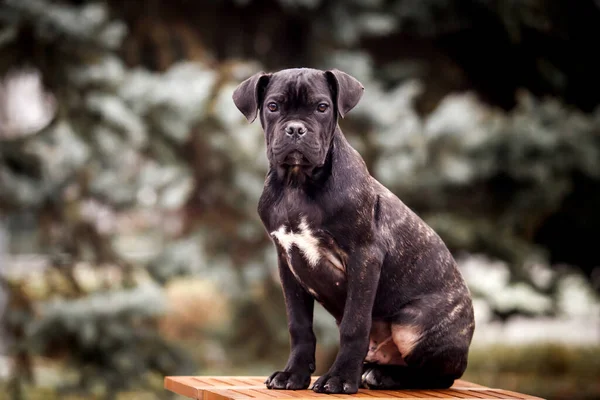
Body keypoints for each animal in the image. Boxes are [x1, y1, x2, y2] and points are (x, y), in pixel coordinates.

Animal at [232, 68, 476, 394]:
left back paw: (383, 376)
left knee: (440, 376)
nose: (295, 129)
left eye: (322, 107)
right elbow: (299, 325)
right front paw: (293, 374)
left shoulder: (364, 258)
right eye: (273, 107)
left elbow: (355, 324)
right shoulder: (287, 263)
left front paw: (339, 379)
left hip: (413, 325)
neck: (297, 183)